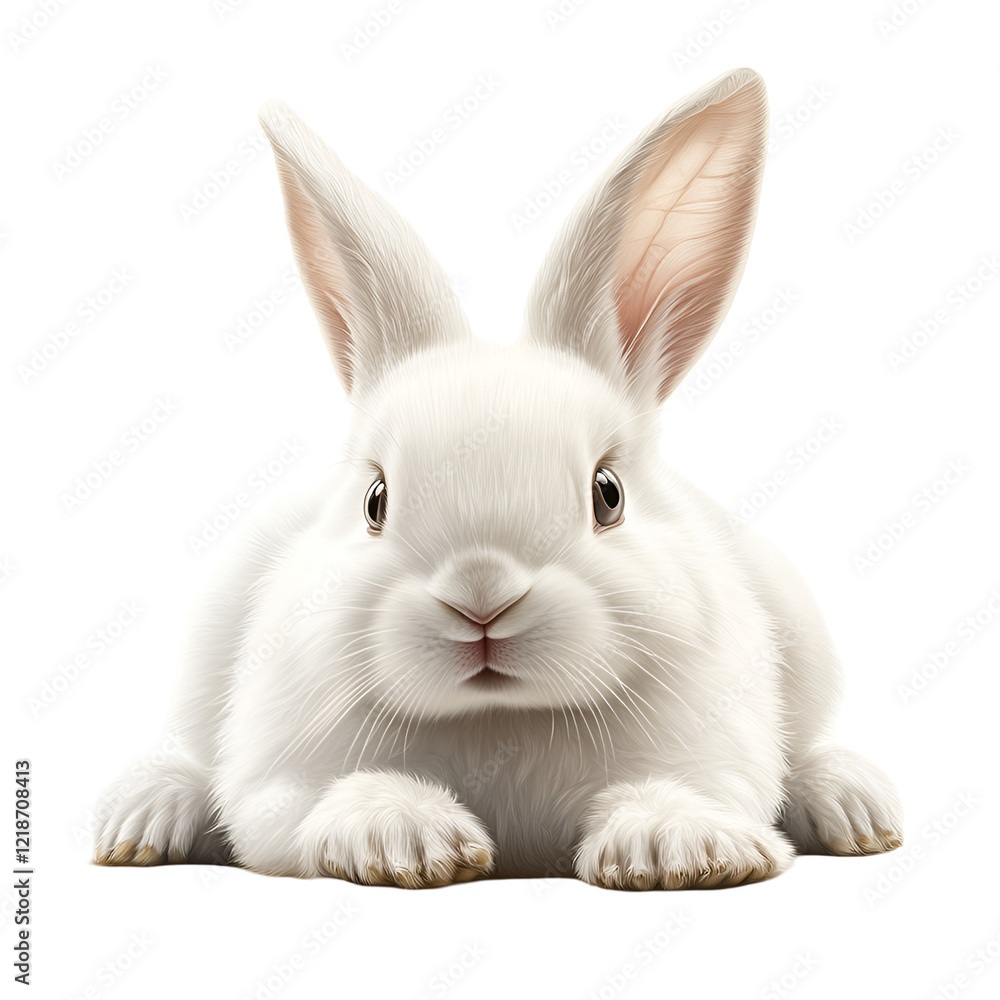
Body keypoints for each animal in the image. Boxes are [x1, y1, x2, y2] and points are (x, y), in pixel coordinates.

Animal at [93, 68, 902, 889]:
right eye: (375, 501)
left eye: (608, 495)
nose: (480, 594)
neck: (499, 717)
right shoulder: (277, 785)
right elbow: (309, 805)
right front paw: (404, 837)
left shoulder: (716, 753)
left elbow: (683, 790)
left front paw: (681, 849)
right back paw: (145, 815)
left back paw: (854, 806)